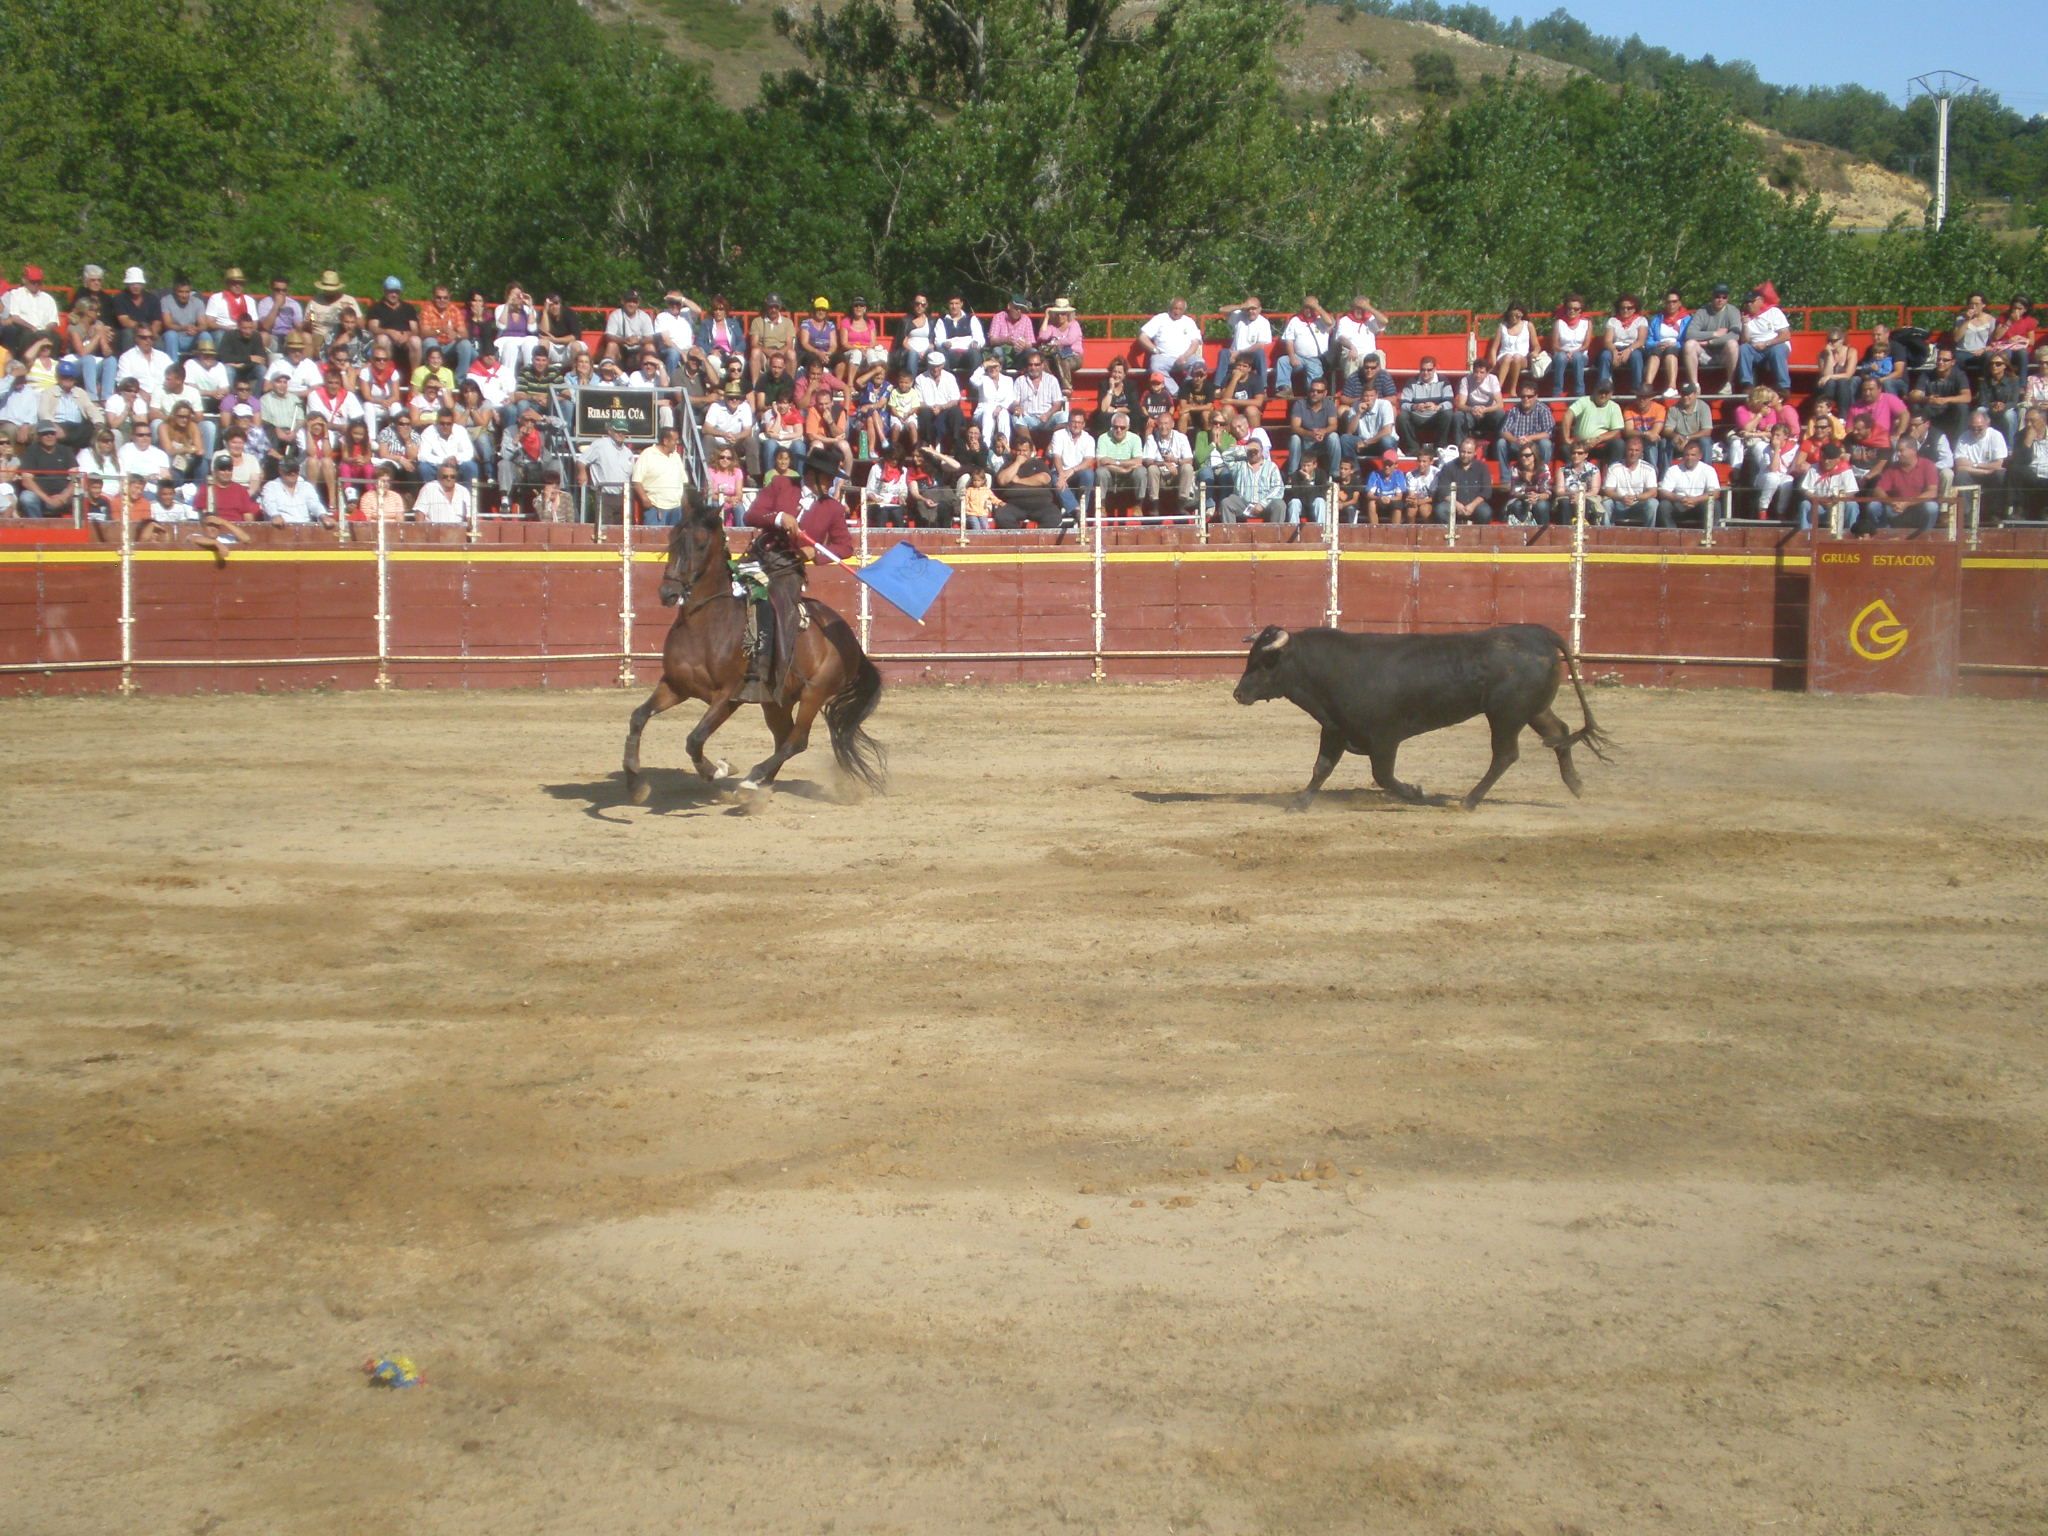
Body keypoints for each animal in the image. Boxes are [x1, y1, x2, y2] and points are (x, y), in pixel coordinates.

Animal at [618, 493, 884, 806]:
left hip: (814, 693)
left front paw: (718, 770)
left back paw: (751, 780)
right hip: (776, 701)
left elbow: (695, 738)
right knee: (783, 738)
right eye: (672, 538)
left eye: (701, 543)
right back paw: (756, 786)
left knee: (796, 740)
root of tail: (852, 641)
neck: (704, 625)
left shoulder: (728, 696)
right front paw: (635, 781)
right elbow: (638, 717)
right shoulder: (675, 685)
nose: (668, 593)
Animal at [1228, 626, 1613, 819]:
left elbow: (1383, 776)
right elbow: (1321, 768)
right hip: (1531, 710)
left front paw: (1417, 792)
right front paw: (1299, 803)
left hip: (1505, 715)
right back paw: (1576, 785)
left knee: (1505, 755)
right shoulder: (1335, 729)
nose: (1238, 693)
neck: (1328, 669)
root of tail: (1539, 634)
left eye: (1265, 662)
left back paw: (1468, 802)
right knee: (1559, 734)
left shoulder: (1384, 738)